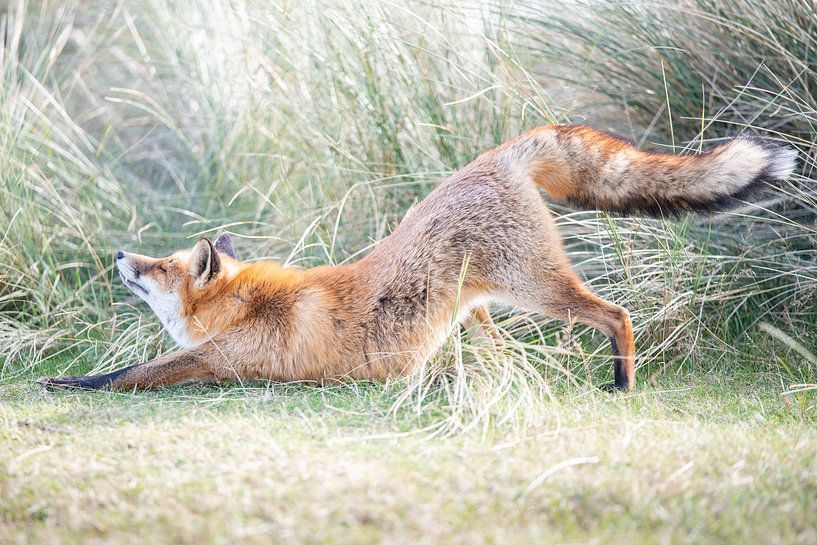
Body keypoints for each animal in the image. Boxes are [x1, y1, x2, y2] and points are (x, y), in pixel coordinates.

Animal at [37, 124, 797, 392]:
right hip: (478, 308)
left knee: (616, 314)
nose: (119, 253)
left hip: (535, 286)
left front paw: (68, 384)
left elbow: (128, 374)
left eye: (160, 268)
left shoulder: (219, 363)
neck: (243, 306)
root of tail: (496, 155)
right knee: (502, 347)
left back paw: (622, 380)